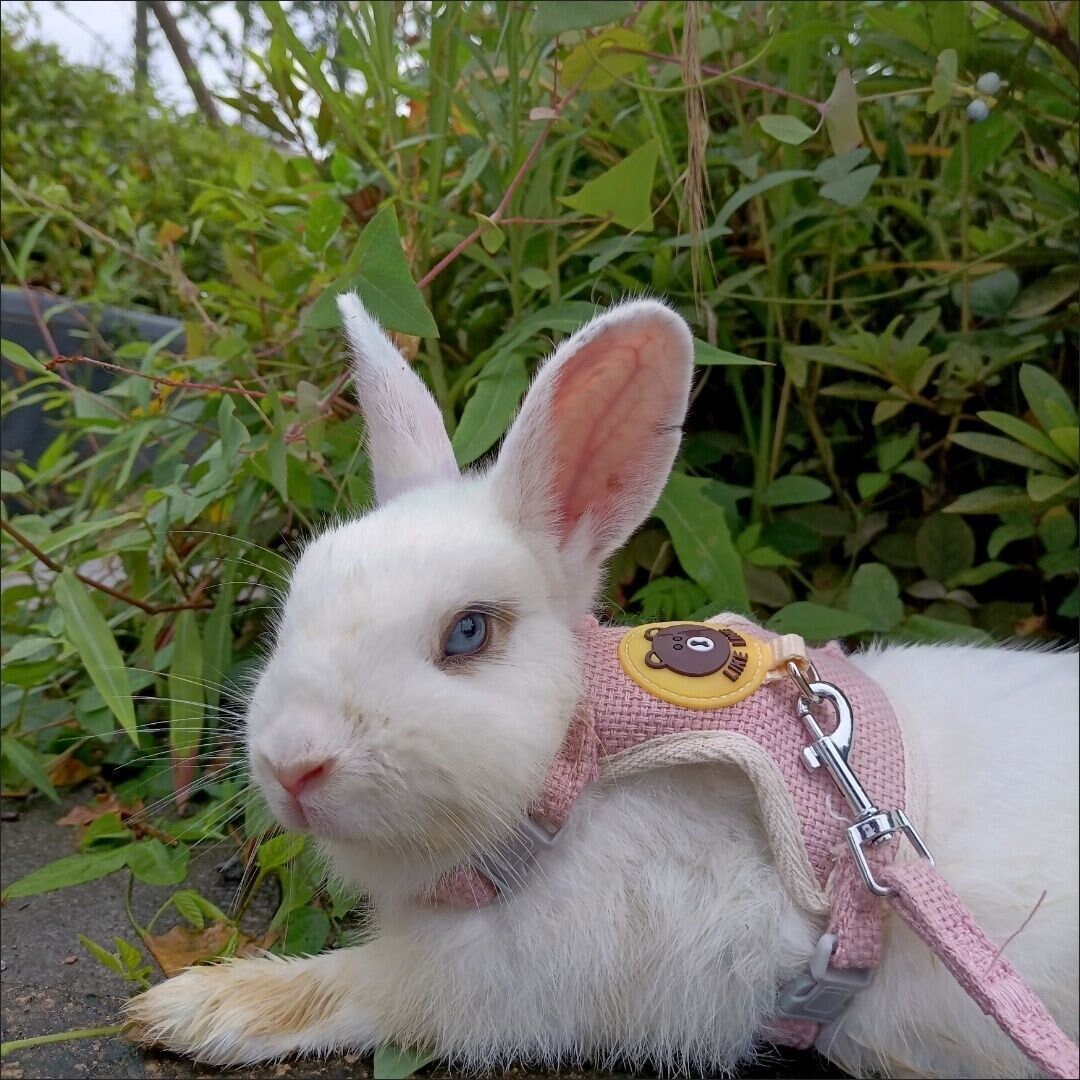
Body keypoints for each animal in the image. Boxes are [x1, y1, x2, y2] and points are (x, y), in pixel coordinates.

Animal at [127, 296, 1079, 1079]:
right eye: (299, 597)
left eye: (469, 633)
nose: (292, 764)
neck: (580, 763)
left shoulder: (506, 980)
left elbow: (353, 986)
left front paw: (195, 1009)